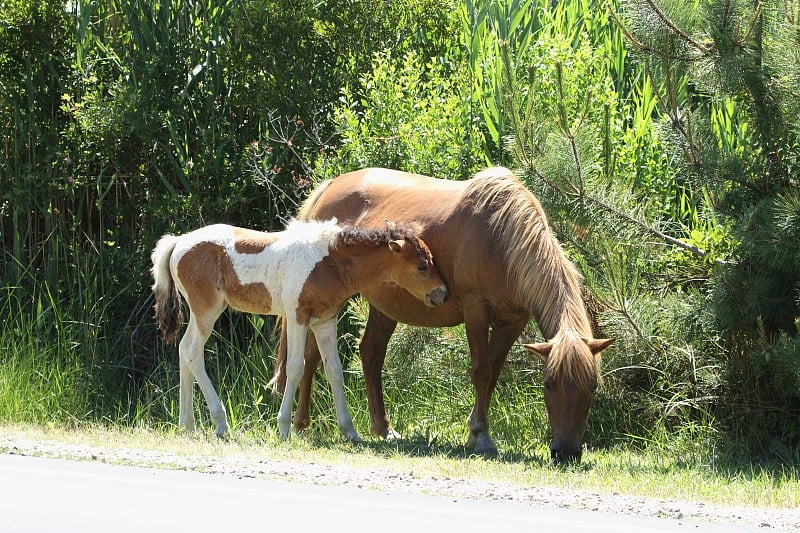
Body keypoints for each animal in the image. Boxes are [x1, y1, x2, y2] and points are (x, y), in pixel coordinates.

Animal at [152, 218, 450, 438]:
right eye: (422, 266)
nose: (442, 294)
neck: (330, 262)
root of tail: (178, 241)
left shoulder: (325, 321)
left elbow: (334, 371)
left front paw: (349, 431)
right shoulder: (297, 316)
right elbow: (295, 367)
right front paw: (284, 428)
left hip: (202, 312)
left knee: (183, 350)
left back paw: (187, 425)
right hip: (207, 310)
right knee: (193, 352)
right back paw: (220, 424)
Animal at [270, 167, 612, 462]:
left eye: (593, 387)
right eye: (548, 385)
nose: (566, 452)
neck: (501, 238)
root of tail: (328, 188)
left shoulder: (513, 321)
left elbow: (493, 374)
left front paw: (476, 432)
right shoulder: (476, 311)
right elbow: (481, 371)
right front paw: (481, 436)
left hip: (384, 307)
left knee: (371, 353)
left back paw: (383, 428)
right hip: (326, 304)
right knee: (313, 357)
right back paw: (301, 424)